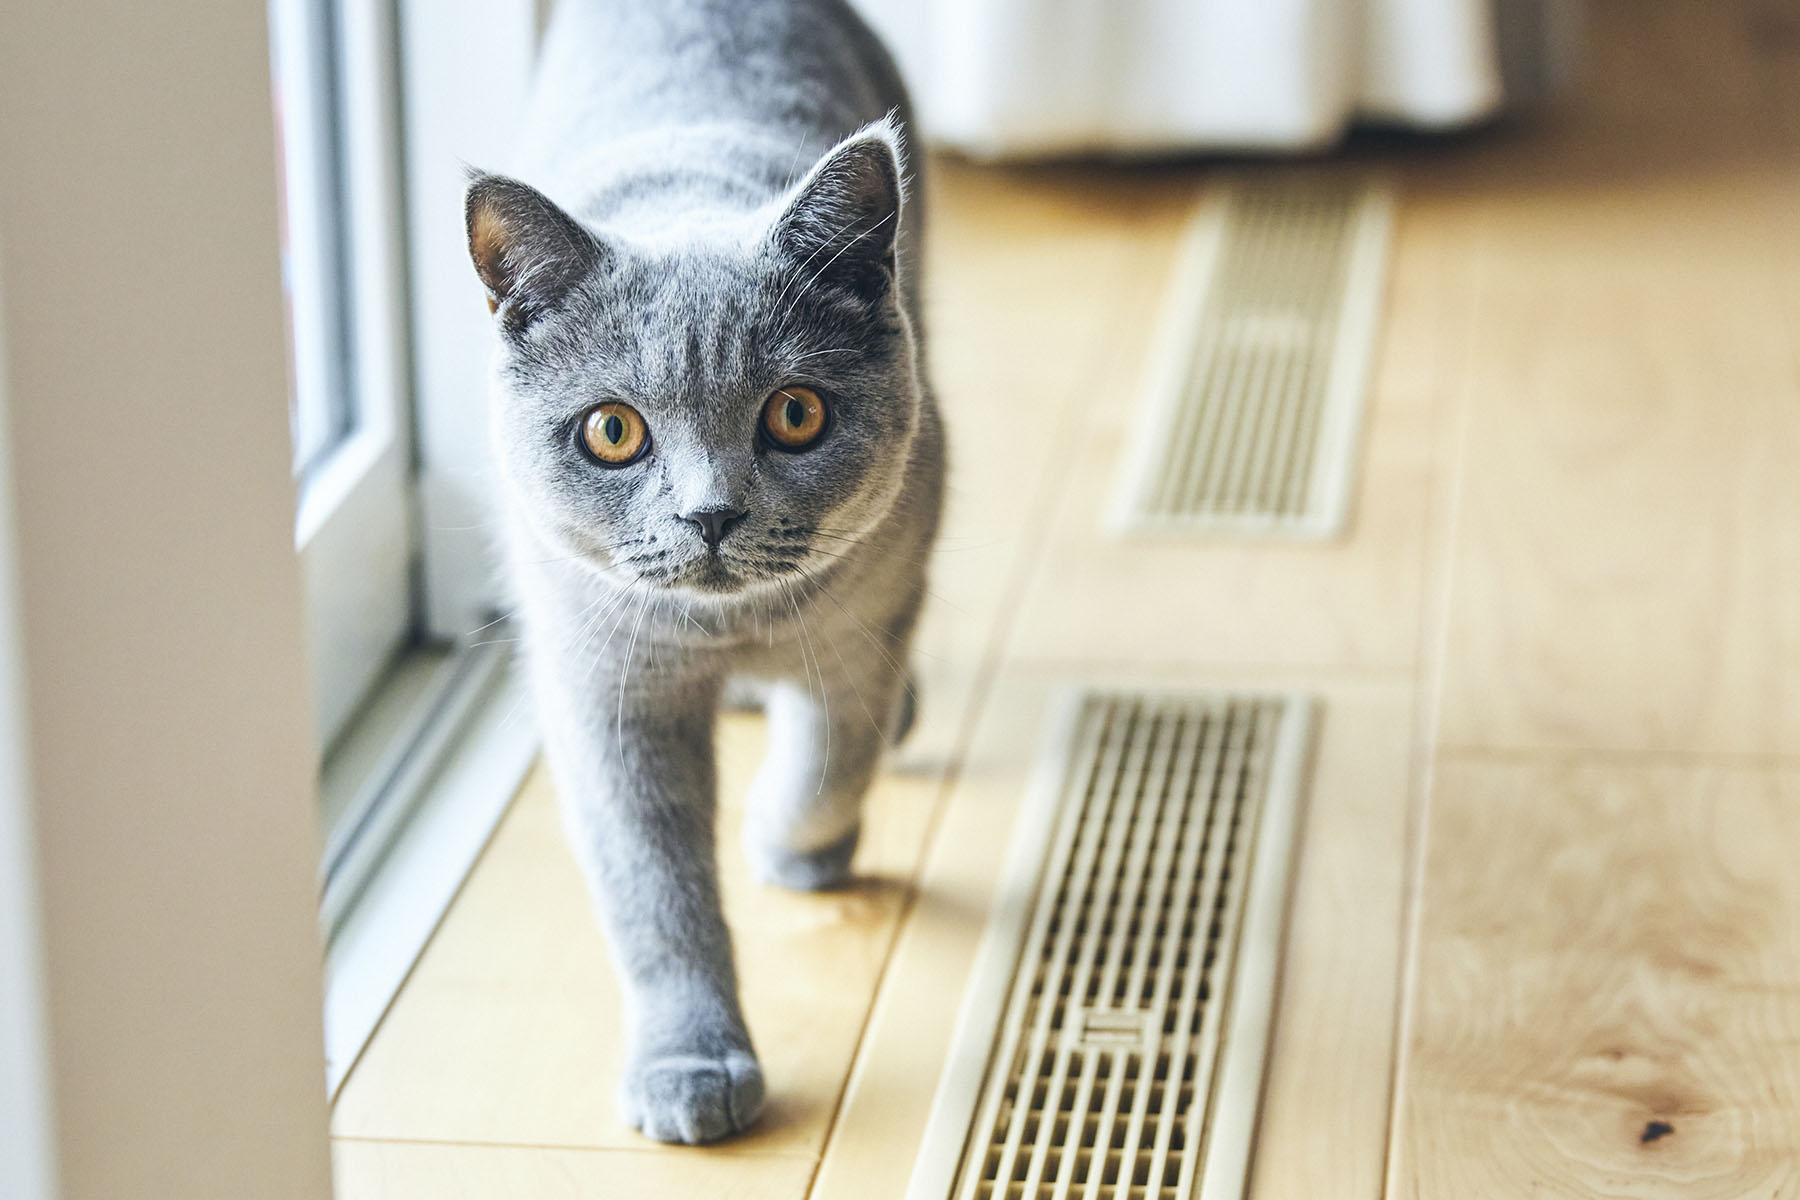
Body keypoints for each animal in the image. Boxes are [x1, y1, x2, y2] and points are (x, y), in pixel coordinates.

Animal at [460, 0, 943, 1144]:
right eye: (613, 431)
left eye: (796, 414)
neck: (727, 634)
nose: (710, 513)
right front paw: (691, 1066)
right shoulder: (606, 691)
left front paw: (790, 847)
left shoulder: (868, 622)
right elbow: (654, 889)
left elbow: (832, 763)